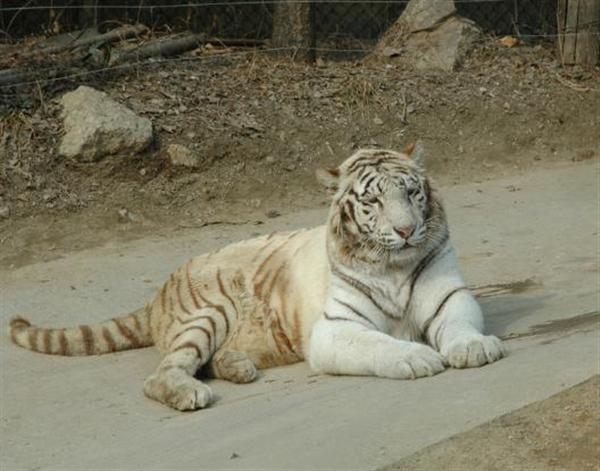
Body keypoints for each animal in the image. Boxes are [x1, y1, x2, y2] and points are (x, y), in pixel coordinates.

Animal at [11, 143, 504, 410]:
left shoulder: (450, 296)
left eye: (412, 192)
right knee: (163, 372)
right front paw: (415, 357)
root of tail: (159, 290)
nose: (405, 230)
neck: (392, 265)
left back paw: (239, 366)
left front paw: (474, 348)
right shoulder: (337, 328)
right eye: (373, 201)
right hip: (207, 313)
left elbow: (458, 325)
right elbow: (378, 344)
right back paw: (191, 393)